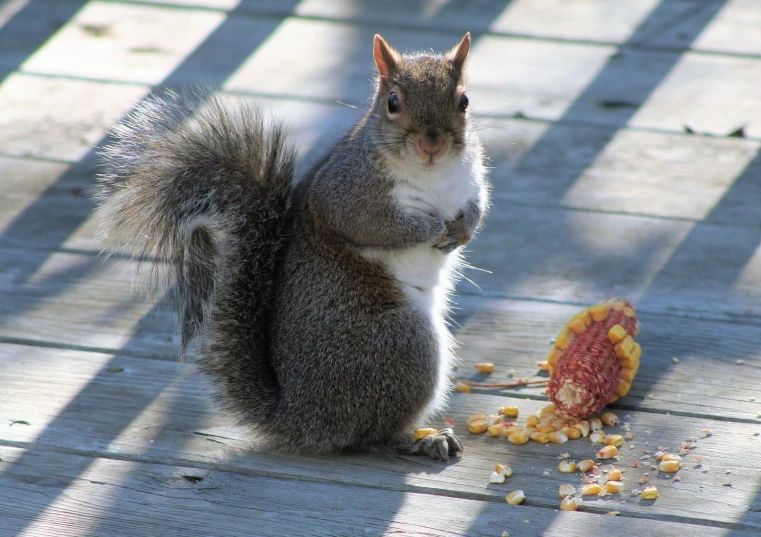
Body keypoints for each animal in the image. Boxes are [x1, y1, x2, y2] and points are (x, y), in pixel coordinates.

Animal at [93, 32, 486, 460]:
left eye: (465, 101)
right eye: (393, 103)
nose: (432, 145)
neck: (434, 175)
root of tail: (300, 414)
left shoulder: (471, 177)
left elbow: (478, 203)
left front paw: (464, 227)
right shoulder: (348, 194)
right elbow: (376, 225)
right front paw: (432, 228)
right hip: (402, 343)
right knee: (371, 435)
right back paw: (420, 439)